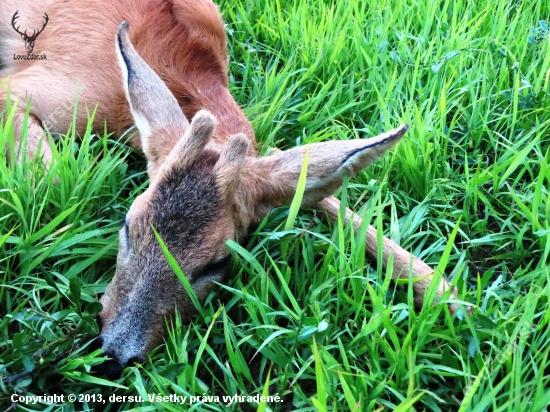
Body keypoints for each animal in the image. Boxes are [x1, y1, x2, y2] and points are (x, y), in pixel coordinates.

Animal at [0, 0, 466, 380]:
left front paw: (446, 294)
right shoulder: (25, 89)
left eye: (218, 263)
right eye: (127, 227)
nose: (113, 356)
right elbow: (51, 179)